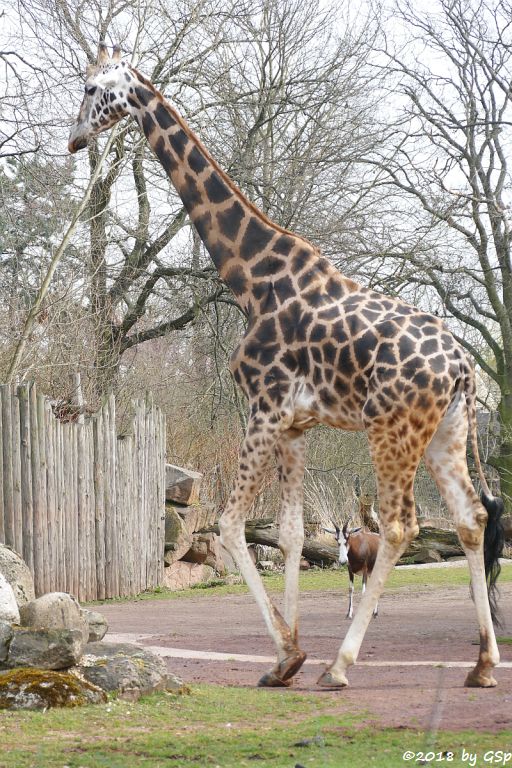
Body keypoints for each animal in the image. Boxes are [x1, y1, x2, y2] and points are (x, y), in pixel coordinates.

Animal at [68, 42, 504, 688]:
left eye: (92, 87)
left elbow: (229, 524)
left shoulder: (264, 405)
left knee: (401, 525)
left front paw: (291, 658)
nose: (74, 138)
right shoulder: (297, 424)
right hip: (445, 432)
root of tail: (463, 368)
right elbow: (293, 533)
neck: (253, 279)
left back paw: (340, 667)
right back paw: (482, 665)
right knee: (471, 519)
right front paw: (286, 656)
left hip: (391, 429)